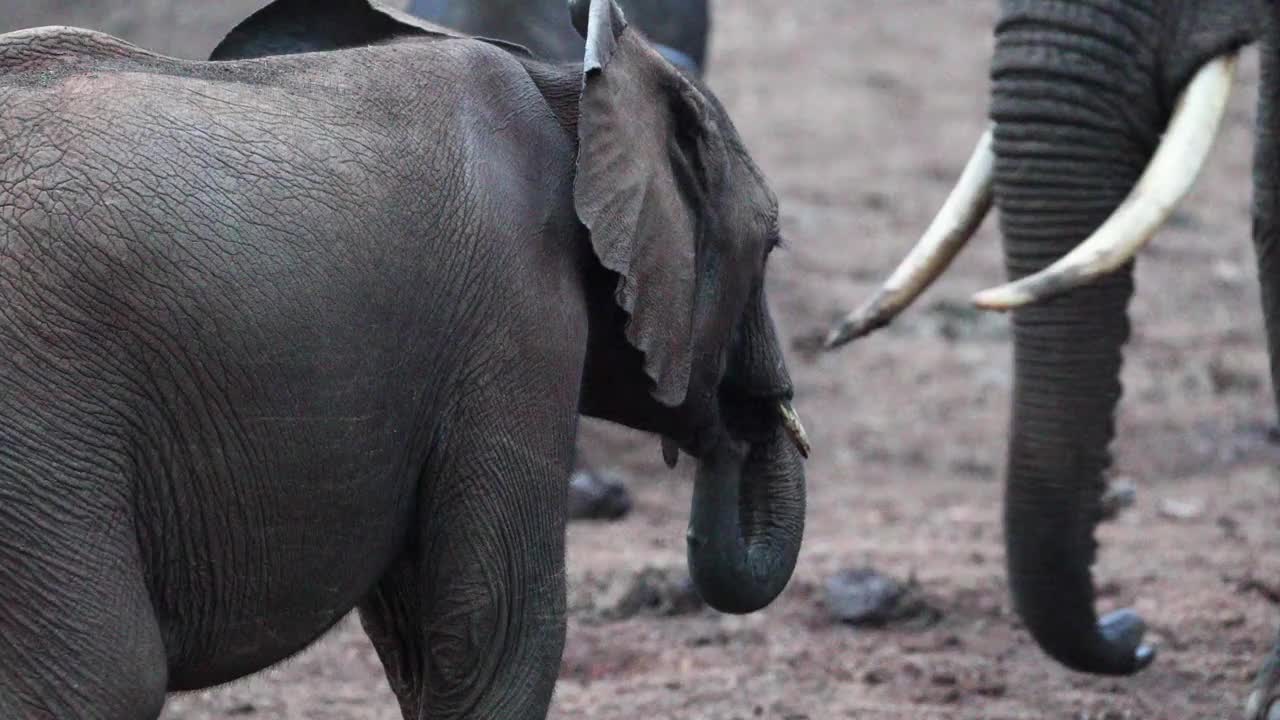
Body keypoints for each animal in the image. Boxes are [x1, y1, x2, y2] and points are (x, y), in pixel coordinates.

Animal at [0, 1, 803, 717]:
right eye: (771, 245)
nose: (726, 425)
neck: (564, 82)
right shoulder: (516, 314)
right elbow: (496, 634)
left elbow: (423, 643)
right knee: (105, 679)